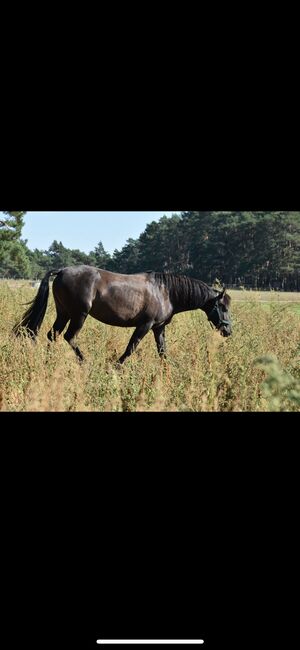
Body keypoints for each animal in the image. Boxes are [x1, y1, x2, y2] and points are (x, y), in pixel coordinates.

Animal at [12, 266, 233, 362]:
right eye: (223, 308)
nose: (228, 331)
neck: (165, 292)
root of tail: (61, 271)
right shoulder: (145, 325)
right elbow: (130, 348)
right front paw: (116, 366)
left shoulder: (158, 328)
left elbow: (162, 351)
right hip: (79, 314)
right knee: (69, 336)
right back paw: (84, 361)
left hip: (64, 312)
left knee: (53, 334)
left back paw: (49, 360)